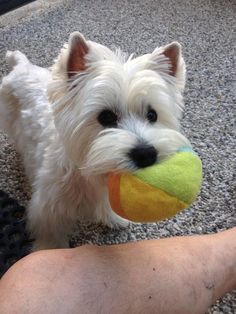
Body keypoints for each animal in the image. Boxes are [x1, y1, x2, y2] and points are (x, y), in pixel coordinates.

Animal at [0, 32, 189, 250]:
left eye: (152, 115)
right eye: (106, 117)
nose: (146, 154)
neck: (89, 172)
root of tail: (21, 65)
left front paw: (116, 219)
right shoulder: (49, 209)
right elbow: (51, 235)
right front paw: (48, 250)